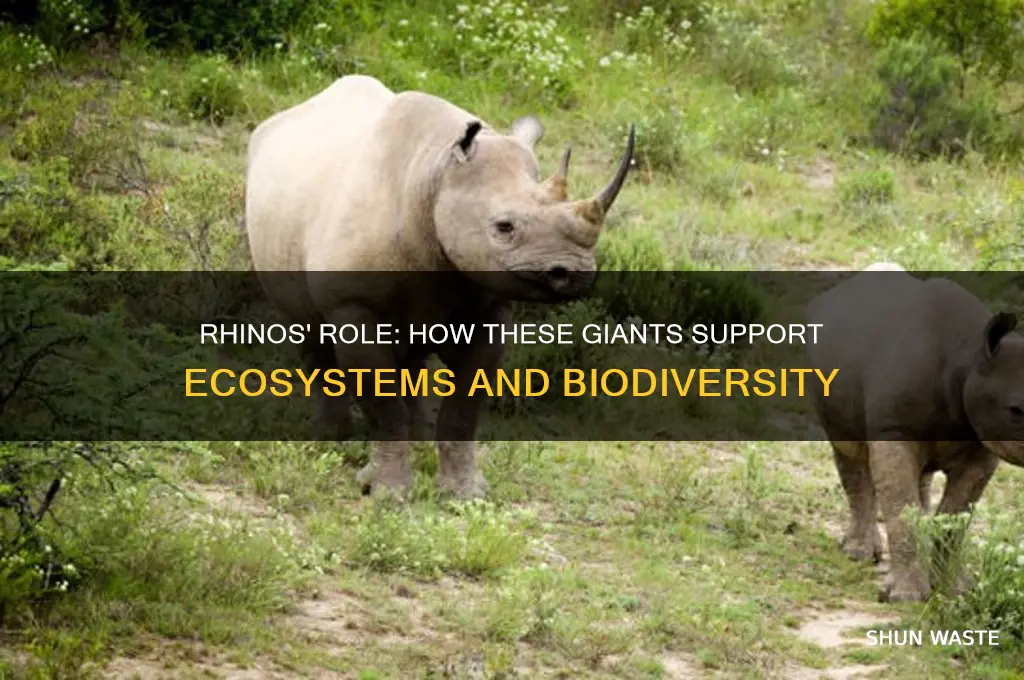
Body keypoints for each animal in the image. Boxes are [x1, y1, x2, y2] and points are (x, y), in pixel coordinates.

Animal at [244, 75, 635, 499]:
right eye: (504, 228)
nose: (575, 272)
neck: (434, 176)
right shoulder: (352, 305)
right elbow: (383, 406)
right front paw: (388, 494)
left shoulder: (488, 307)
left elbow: (464, 406)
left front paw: (465, 493)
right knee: (309, 335)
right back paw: (330, 439)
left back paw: (417, 433)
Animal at [804, 265, 1024, 602]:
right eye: (1015, 410)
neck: (969, 355)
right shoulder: (894, 430)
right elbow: (901, 509)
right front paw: (905, 597)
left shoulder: (983, 444)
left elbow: (955, 518)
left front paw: (955, 591)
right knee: (850, 452)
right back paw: (858, 553)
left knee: (920, 476)